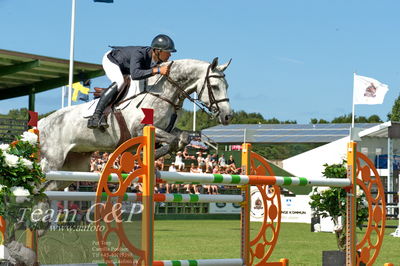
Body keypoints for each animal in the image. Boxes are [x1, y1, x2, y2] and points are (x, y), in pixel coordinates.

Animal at [39, 58, 233, 190]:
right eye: (215, 86)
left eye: (227, 86)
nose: (228, 116)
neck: (162, 93)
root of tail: (42, 122)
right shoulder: (139, 130)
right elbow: (170, 141)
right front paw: (146, 158)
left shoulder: (168, 128)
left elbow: (183, 137)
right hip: (53, 161)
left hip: (74, 165)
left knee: (51, 187)